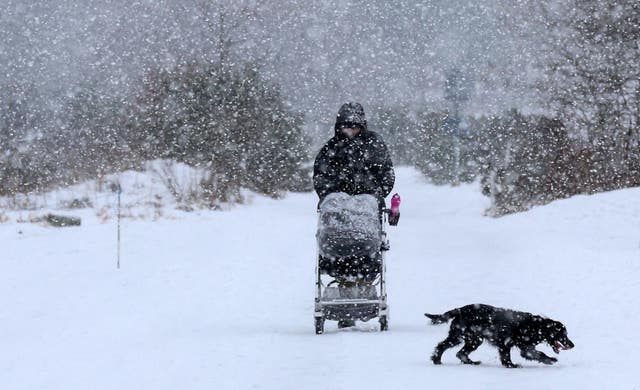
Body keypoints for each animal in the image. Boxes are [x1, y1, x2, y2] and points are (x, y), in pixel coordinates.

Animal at [424, 304, 576, 368]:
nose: (572, 345)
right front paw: (511, 366)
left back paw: (472, 362)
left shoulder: (526, 348)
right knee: (442, 346)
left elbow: (538, 354)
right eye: (563, 334)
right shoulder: (510, 344)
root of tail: (460, 309)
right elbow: (508, 358)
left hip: (473, 339)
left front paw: (549, 360)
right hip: (460, 336)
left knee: (460, 353)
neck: (536, 326)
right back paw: (437, 360)